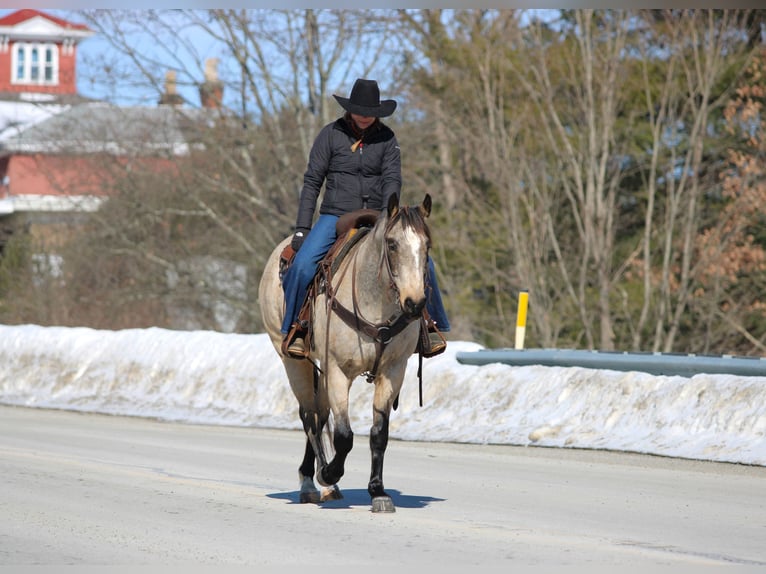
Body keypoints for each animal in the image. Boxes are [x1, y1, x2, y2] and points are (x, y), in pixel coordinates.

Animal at [259, 193, 432, 513]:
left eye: (427, 245)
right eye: (392, 244)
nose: (414, 303)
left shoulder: (393, 371)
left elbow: (379, 434)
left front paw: (378, 492)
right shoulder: (338, 371)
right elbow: (343, 436)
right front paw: (329, 474)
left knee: (320, 413)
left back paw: (327, 486)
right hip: (293, 361)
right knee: (310, 415)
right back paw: (311, 482)